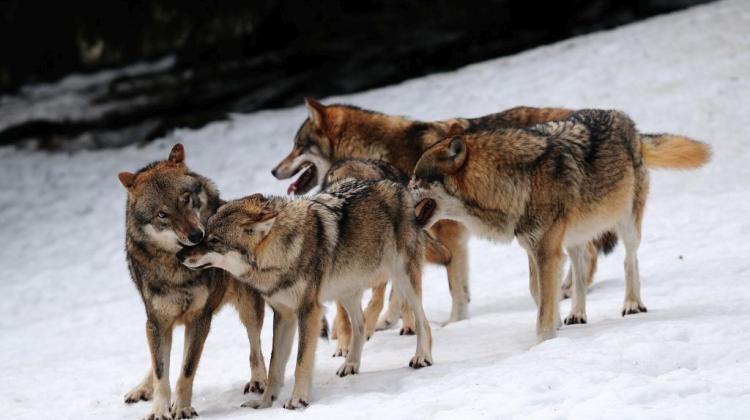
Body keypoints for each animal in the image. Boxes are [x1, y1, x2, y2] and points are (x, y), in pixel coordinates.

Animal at [117, 144, 268, 416]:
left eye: (185, 199)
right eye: (162, 214)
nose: (197, 235)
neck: (177, 268)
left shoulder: (199, 319)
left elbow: (186, 371)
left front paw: (181, 408)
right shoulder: (157, 321)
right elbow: (161, 372)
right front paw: (160, 411)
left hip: (249, 309)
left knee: (255, 345)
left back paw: (259, 380)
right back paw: (141, 388)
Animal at [178, 178, 434, 410]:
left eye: (214, 240)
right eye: (204, 233)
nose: (180, 255)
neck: (282, 252)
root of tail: (398, 186)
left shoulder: (308, 310)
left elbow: (301, 361)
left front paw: (297, 400)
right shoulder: (283, 314)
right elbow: (275, 365)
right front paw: (264, 403)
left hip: (403, 278)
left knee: (423, 320)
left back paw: (422, 357)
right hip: (347, 291)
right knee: (360, 325)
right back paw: (350, 364)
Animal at [270, 99, 612, 324]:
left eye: (297, 146)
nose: (273, 170)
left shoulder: (447, 236)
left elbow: (451, 287)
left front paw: (453, 322)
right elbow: (406, 289)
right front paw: (392, 320)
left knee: (587, 252)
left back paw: (569, 291)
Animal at [318, 159, 452, 356]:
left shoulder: (380, 278)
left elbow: (376, 304)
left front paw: (365, 330)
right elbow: (343, 318)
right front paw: (343, 346)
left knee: (405, 300)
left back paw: (408, 327)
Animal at [408, 108, 712, 342]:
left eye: (415, 179)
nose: (398, 188)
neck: (516, 180)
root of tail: (628, 122)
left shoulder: (546, 250)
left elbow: (544, 301)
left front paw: (543, 342)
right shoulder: (535, 247)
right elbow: (538, 290)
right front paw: (555, 323)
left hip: (626, 225)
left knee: (629, 260)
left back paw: (632, 304)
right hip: (575, 237)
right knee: (580, 269)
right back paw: (577, 313)